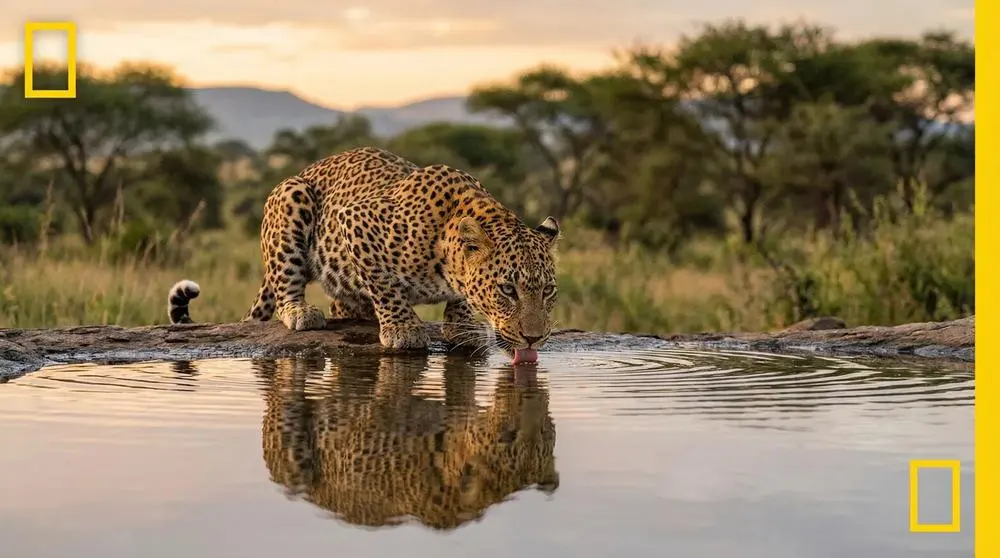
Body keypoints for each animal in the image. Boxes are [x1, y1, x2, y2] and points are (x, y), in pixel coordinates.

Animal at [167, 146, 561, 363]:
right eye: (507, 290)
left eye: (548, 291)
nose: (534, 339)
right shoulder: (355, 221)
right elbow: (386, 285)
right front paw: (403, 329)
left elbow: (459, 298)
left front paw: (461, 325)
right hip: (291, 196)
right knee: (285, 284)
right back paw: (300, 312)